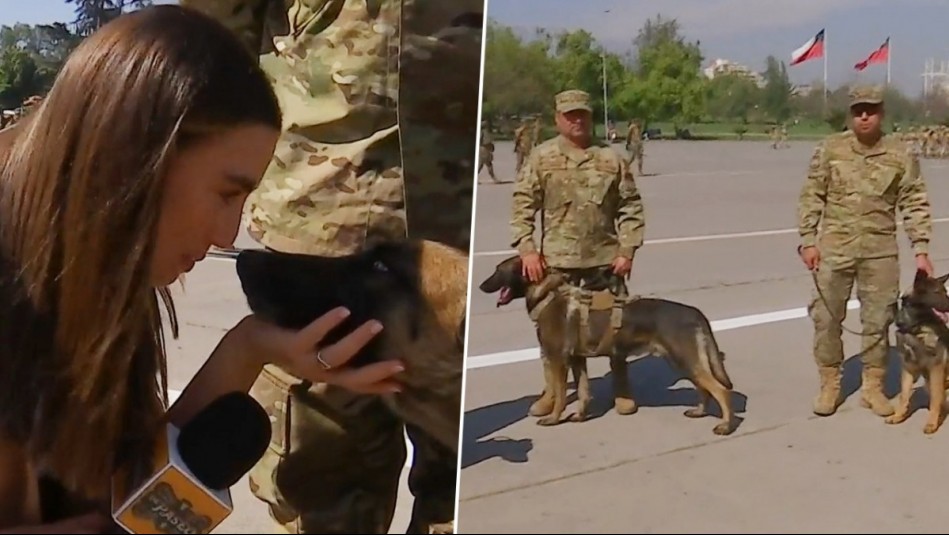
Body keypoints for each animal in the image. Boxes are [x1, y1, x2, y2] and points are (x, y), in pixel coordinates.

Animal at [478, 255, 736, 436]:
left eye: (498, 270)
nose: (480, 286)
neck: (548, 294)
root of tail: (694, 312)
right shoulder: (577, 359)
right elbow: (583, 391)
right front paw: (579, 416)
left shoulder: (559, 360)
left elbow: (560, 395)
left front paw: (553, 419)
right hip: (683, 361)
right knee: (705, 388)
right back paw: (699, 412)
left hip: (684, 359)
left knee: (720, 389)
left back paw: (725, 425)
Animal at [884, 270, 948, 438]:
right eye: (937, 292)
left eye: (945, 292)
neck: (914, 329)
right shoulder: (908, 368)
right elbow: (904, 395)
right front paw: (899, 415)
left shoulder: (936, 368)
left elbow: (935, 399)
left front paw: (931, 423)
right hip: (927, 383)